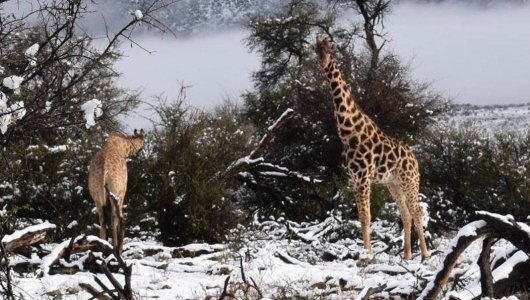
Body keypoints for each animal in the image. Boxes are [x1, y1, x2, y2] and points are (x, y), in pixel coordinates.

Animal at [316, 37, 426, 262]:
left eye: (330, 50)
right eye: (316, 50)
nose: (323, 64)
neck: (349, 133)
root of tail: (415, 159)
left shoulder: (363, 178)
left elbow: (367, 218)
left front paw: (366, 257)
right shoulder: (353, 179)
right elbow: (361, 218)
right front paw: (365, 255)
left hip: (410, 181)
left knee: (417, 211)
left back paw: (426, 256)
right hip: (394, 184)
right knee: (405, 213)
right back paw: (407, 256)